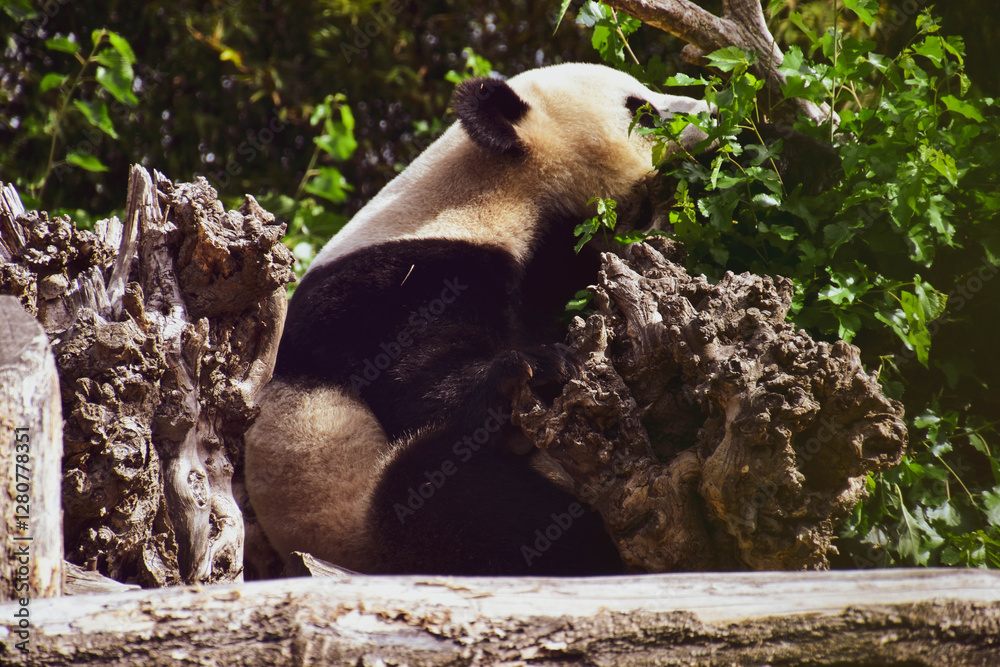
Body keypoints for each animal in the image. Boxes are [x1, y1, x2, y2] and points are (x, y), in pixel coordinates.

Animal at [245, 63, 711, 576]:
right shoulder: (396, 283)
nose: (708, 109)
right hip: (344, 501)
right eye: (640, 110)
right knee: (443, 496)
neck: (488, 189)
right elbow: (414, 386)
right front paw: (540, 366)